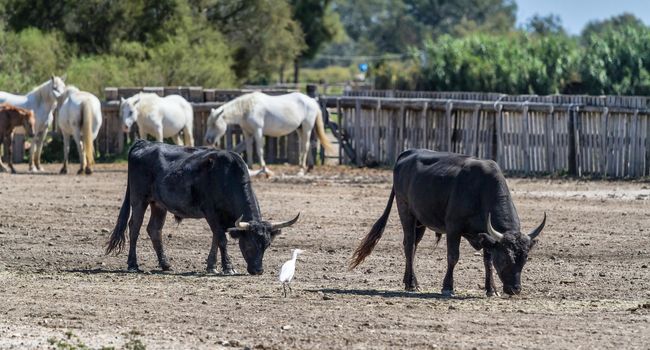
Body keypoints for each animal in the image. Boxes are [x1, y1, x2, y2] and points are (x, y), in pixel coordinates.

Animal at [105, 139, 298, 274]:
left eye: (267, 245)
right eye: (249, 244)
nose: (258, 271)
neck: (226, 176)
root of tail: (144, 143)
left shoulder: (222, 219)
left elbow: (216, 239)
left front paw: (212, 266)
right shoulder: (211, 213)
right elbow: (221, 239)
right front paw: (228, 267)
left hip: (159, 204)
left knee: (154, 229)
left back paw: (165, 264)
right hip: (139, 200)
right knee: (134, 228)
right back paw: (133, 264)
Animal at [202, 91, 332, 176]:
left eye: (214, 124)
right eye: (208, 124)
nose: (207, 140)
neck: (247, 108)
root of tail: (312, 101)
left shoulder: (258, 131)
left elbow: (259, 150)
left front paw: (264, 168)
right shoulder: (247, 133)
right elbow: (249, 150)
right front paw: (249, 167)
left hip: (307, 127)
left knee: (305, 146)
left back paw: (301, 170)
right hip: (300, 129)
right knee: (308, 145)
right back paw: (309, 167)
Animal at [352, 149, 544, 296]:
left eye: (525, 259)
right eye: (505, 258)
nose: (515, 289)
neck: (481, 190)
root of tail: (408, 153)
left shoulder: (487, 238)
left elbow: (488, 261)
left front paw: (491, 290)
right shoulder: (453, 229)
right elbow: (453, 257)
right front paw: (447, 287)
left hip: (420, 221)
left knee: (412, 246)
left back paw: (409, 281)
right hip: (406, 212)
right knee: (409, 245)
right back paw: (413, 284)